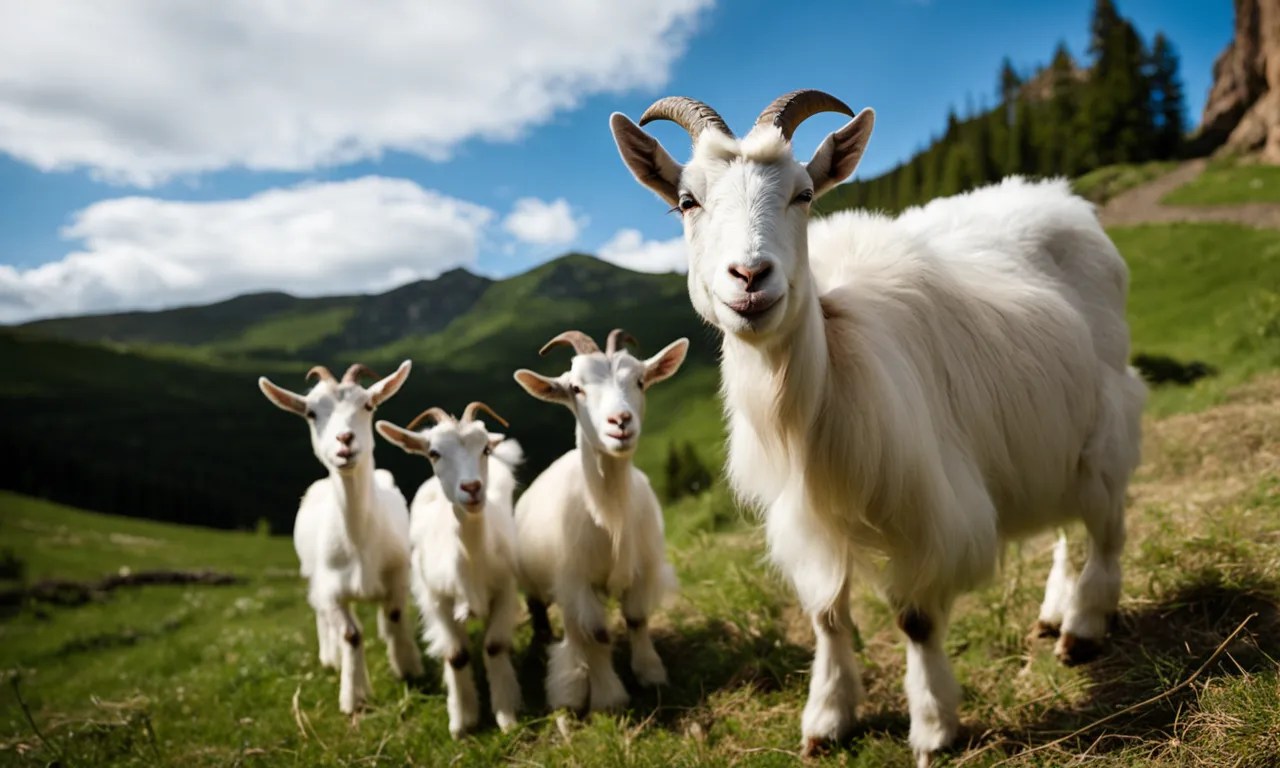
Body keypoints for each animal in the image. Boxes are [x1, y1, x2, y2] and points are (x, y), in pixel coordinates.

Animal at [258, 361, 424, 714]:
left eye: (369, 405)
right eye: (310, 413)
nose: (344, 439)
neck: (360, 541)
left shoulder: (397, 576)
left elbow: (394, 615)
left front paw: (406, 665)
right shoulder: (332, 589)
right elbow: (350, 634)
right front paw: (353, 696)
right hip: (312, 576)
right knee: (321, 613)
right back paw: (330, 656)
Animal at [376, 402, 524, 738]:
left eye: (484, 448)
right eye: (434, 453)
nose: (472, 488)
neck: (471, 560)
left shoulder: (505, 589)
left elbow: (494, 646)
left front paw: (506, 715)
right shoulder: (436, 599)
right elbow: (456, 655)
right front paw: (461, 721)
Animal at [512, 328, 687, 713]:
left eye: (640, 381)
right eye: (576, 388)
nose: (620, 422)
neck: (610, 516)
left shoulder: (642, 570)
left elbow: (636, 619)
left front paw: (650, 672)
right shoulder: (578, 582)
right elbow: (598, 634)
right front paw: (609, 697)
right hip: (534, 581)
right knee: (545, 617)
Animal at [611, 91, 1146, 764]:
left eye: (804, 193)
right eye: (687, 201)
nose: (750, 278)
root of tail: (1061, 198)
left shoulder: (930, 511)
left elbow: (915, 619)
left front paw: (934, 726)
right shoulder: (806, 519)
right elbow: (827, 616)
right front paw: (827, 717)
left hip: (1103, 421)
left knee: (1106, 526)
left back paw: (1083, 627)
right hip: (1047, 433)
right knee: (1067, 526)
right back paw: (1056, 611)